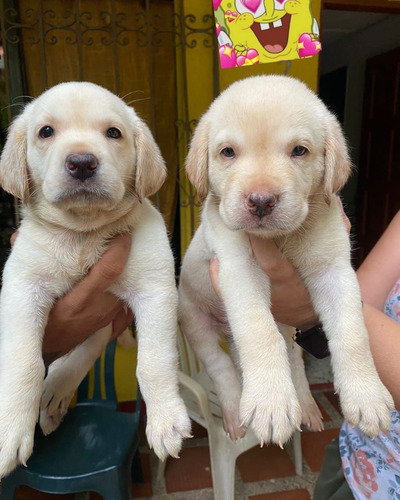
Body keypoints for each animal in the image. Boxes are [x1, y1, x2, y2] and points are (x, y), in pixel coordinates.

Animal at [0, 82, 191, 476]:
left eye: (113, 133)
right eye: (46, 132)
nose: (82, 162)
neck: (83, 234)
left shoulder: (155, 288)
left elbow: (154, 360)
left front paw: (166, 419)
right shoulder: (22, 286)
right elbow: (23, 360)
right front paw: (10, 429)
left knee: (88, 345)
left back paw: (57, 389)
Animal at [180, 75, 394, 450]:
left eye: (299, 151)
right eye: (227, 152)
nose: (261, 201)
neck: (281, 240)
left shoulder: (334, 269)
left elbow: (353, 332)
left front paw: (366, 395)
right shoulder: (238, 268)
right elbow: (258, 330)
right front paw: (270, 403)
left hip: (288, 325)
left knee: (292, 358)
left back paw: (306, 405)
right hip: (195, 320)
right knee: (221, 365)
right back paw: (235, 412)